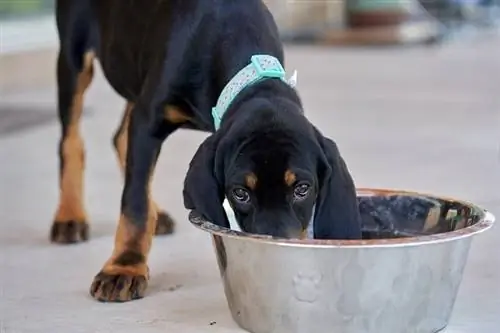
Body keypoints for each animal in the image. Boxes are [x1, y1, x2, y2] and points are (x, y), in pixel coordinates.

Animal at [52, 0, 362, 302]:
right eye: (240, 192)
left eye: (302, 189)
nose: (278, 257)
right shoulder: (148, 120)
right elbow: (135, 201)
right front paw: (124, 267)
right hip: (74, 54)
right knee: (72, 140)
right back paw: (69, 217)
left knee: (120, 138)